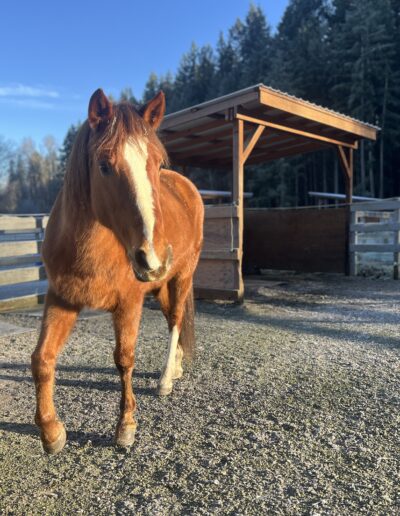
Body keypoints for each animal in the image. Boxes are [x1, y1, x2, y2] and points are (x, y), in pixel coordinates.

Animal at [31, 89, 204, 454]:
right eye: (104, 165)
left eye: (157, 163)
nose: (152, 257)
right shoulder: (61, 298)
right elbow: (42, 358)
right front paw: (51, 432)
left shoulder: (128, 303)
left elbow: (124, 359)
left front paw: (125, 427)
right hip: (161, 285)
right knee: (172, 319)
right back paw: (177, 367)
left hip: (181, 276)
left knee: (176, 320)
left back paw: (165, 379)